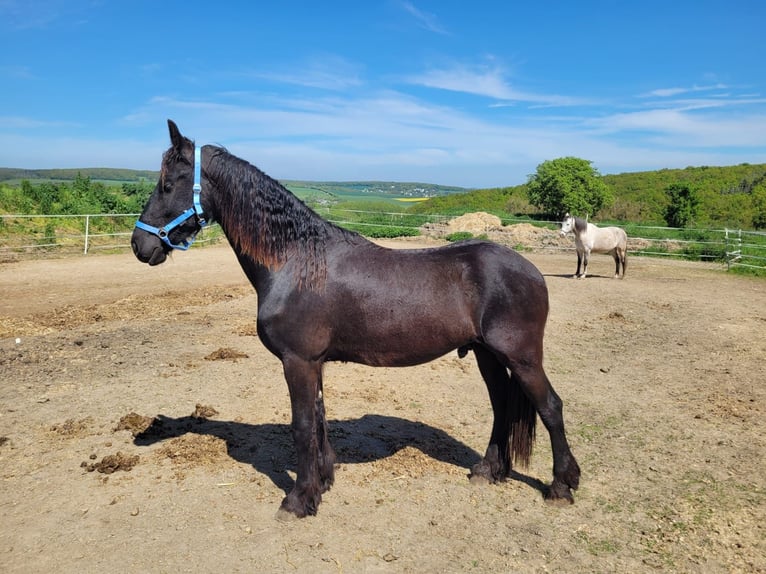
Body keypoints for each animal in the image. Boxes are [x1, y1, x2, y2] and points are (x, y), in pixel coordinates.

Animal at [131, 120, 581, 518]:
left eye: (168, 184)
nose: (139, 244)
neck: (294, 261)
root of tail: (531, 270)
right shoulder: (313, 363)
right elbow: (319, 420)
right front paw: (322, 482)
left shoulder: (297, 361)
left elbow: (301, 426)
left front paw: (298, 501)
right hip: (488, 355)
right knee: (502, 405)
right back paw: (489, 470)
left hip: (521, 357)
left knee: (550, 407)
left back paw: (561, 486)